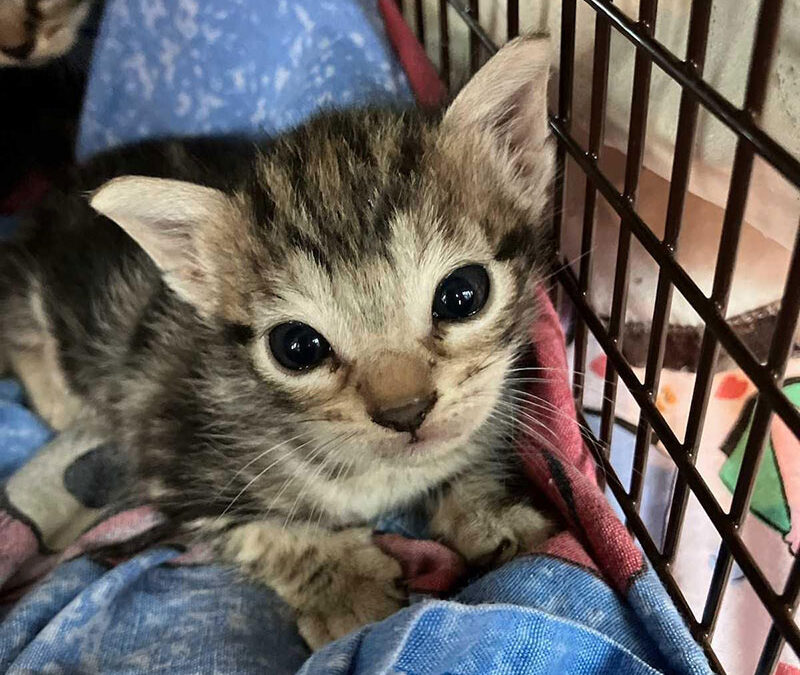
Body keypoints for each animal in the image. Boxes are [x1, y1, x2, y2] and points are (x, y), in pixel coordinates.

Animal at [1, 38, 556, 648]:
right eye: (297, 347)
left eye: (462, 295)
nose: (404, 411)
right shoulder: (171, 457)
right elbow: (264, 529)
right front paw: (345, 587)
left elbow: (466, 454)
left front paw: (489, 510)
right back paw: (57, 399)